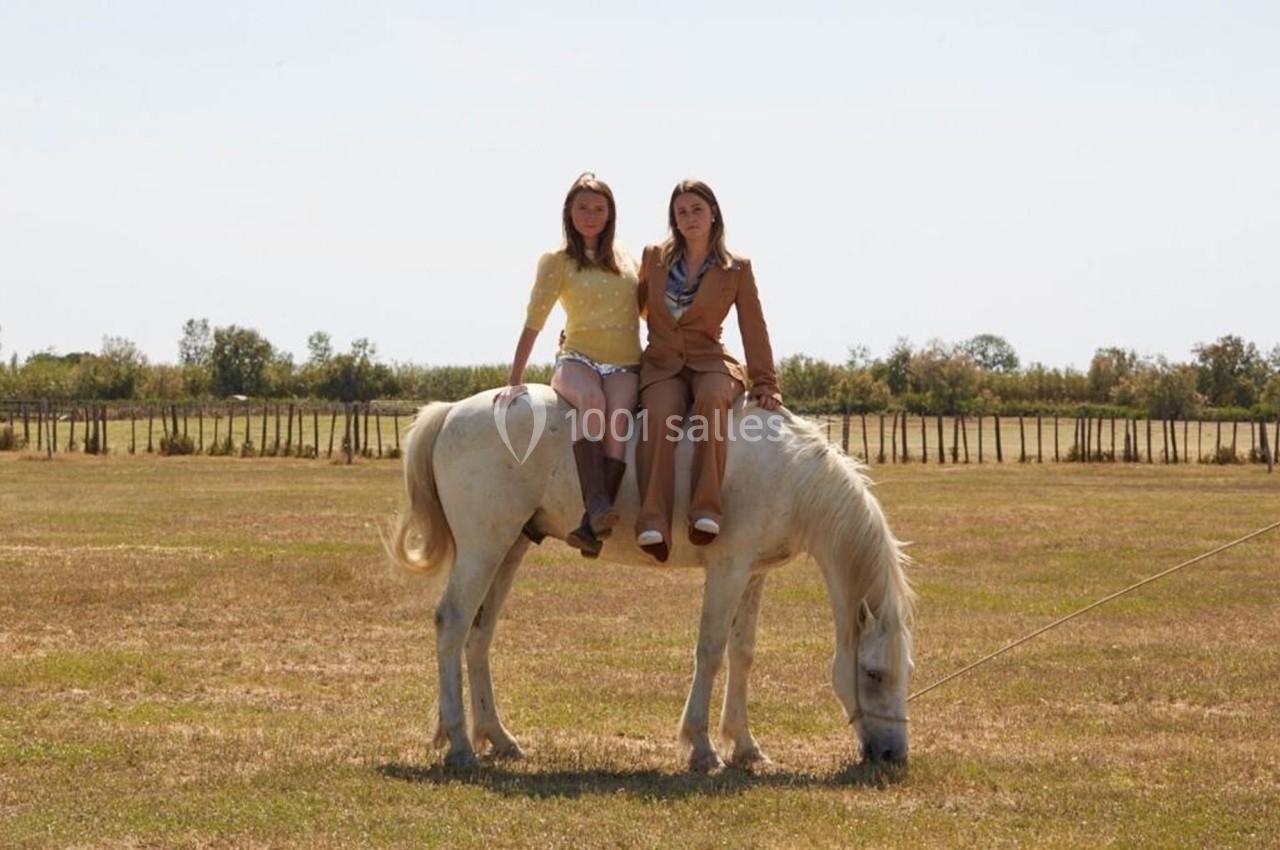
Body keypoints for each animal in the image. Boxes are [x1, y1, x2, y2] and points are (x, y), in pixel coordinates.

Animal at [389, 385, 914, 772]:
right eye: (873, 673)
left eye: (905, 671)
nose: (893, 756)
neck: (788, 471)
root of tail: (453, 410)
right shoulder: (727, 570)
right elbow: (711, 651)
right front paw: (702, 748)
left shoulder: (753, 575)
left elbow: (742, 654)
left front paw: (745, 746)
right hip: (483, 549)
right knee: (452, 624)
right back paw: (460, 744)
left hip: (509, 548)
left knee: (479, 635)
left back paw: (498, 738)